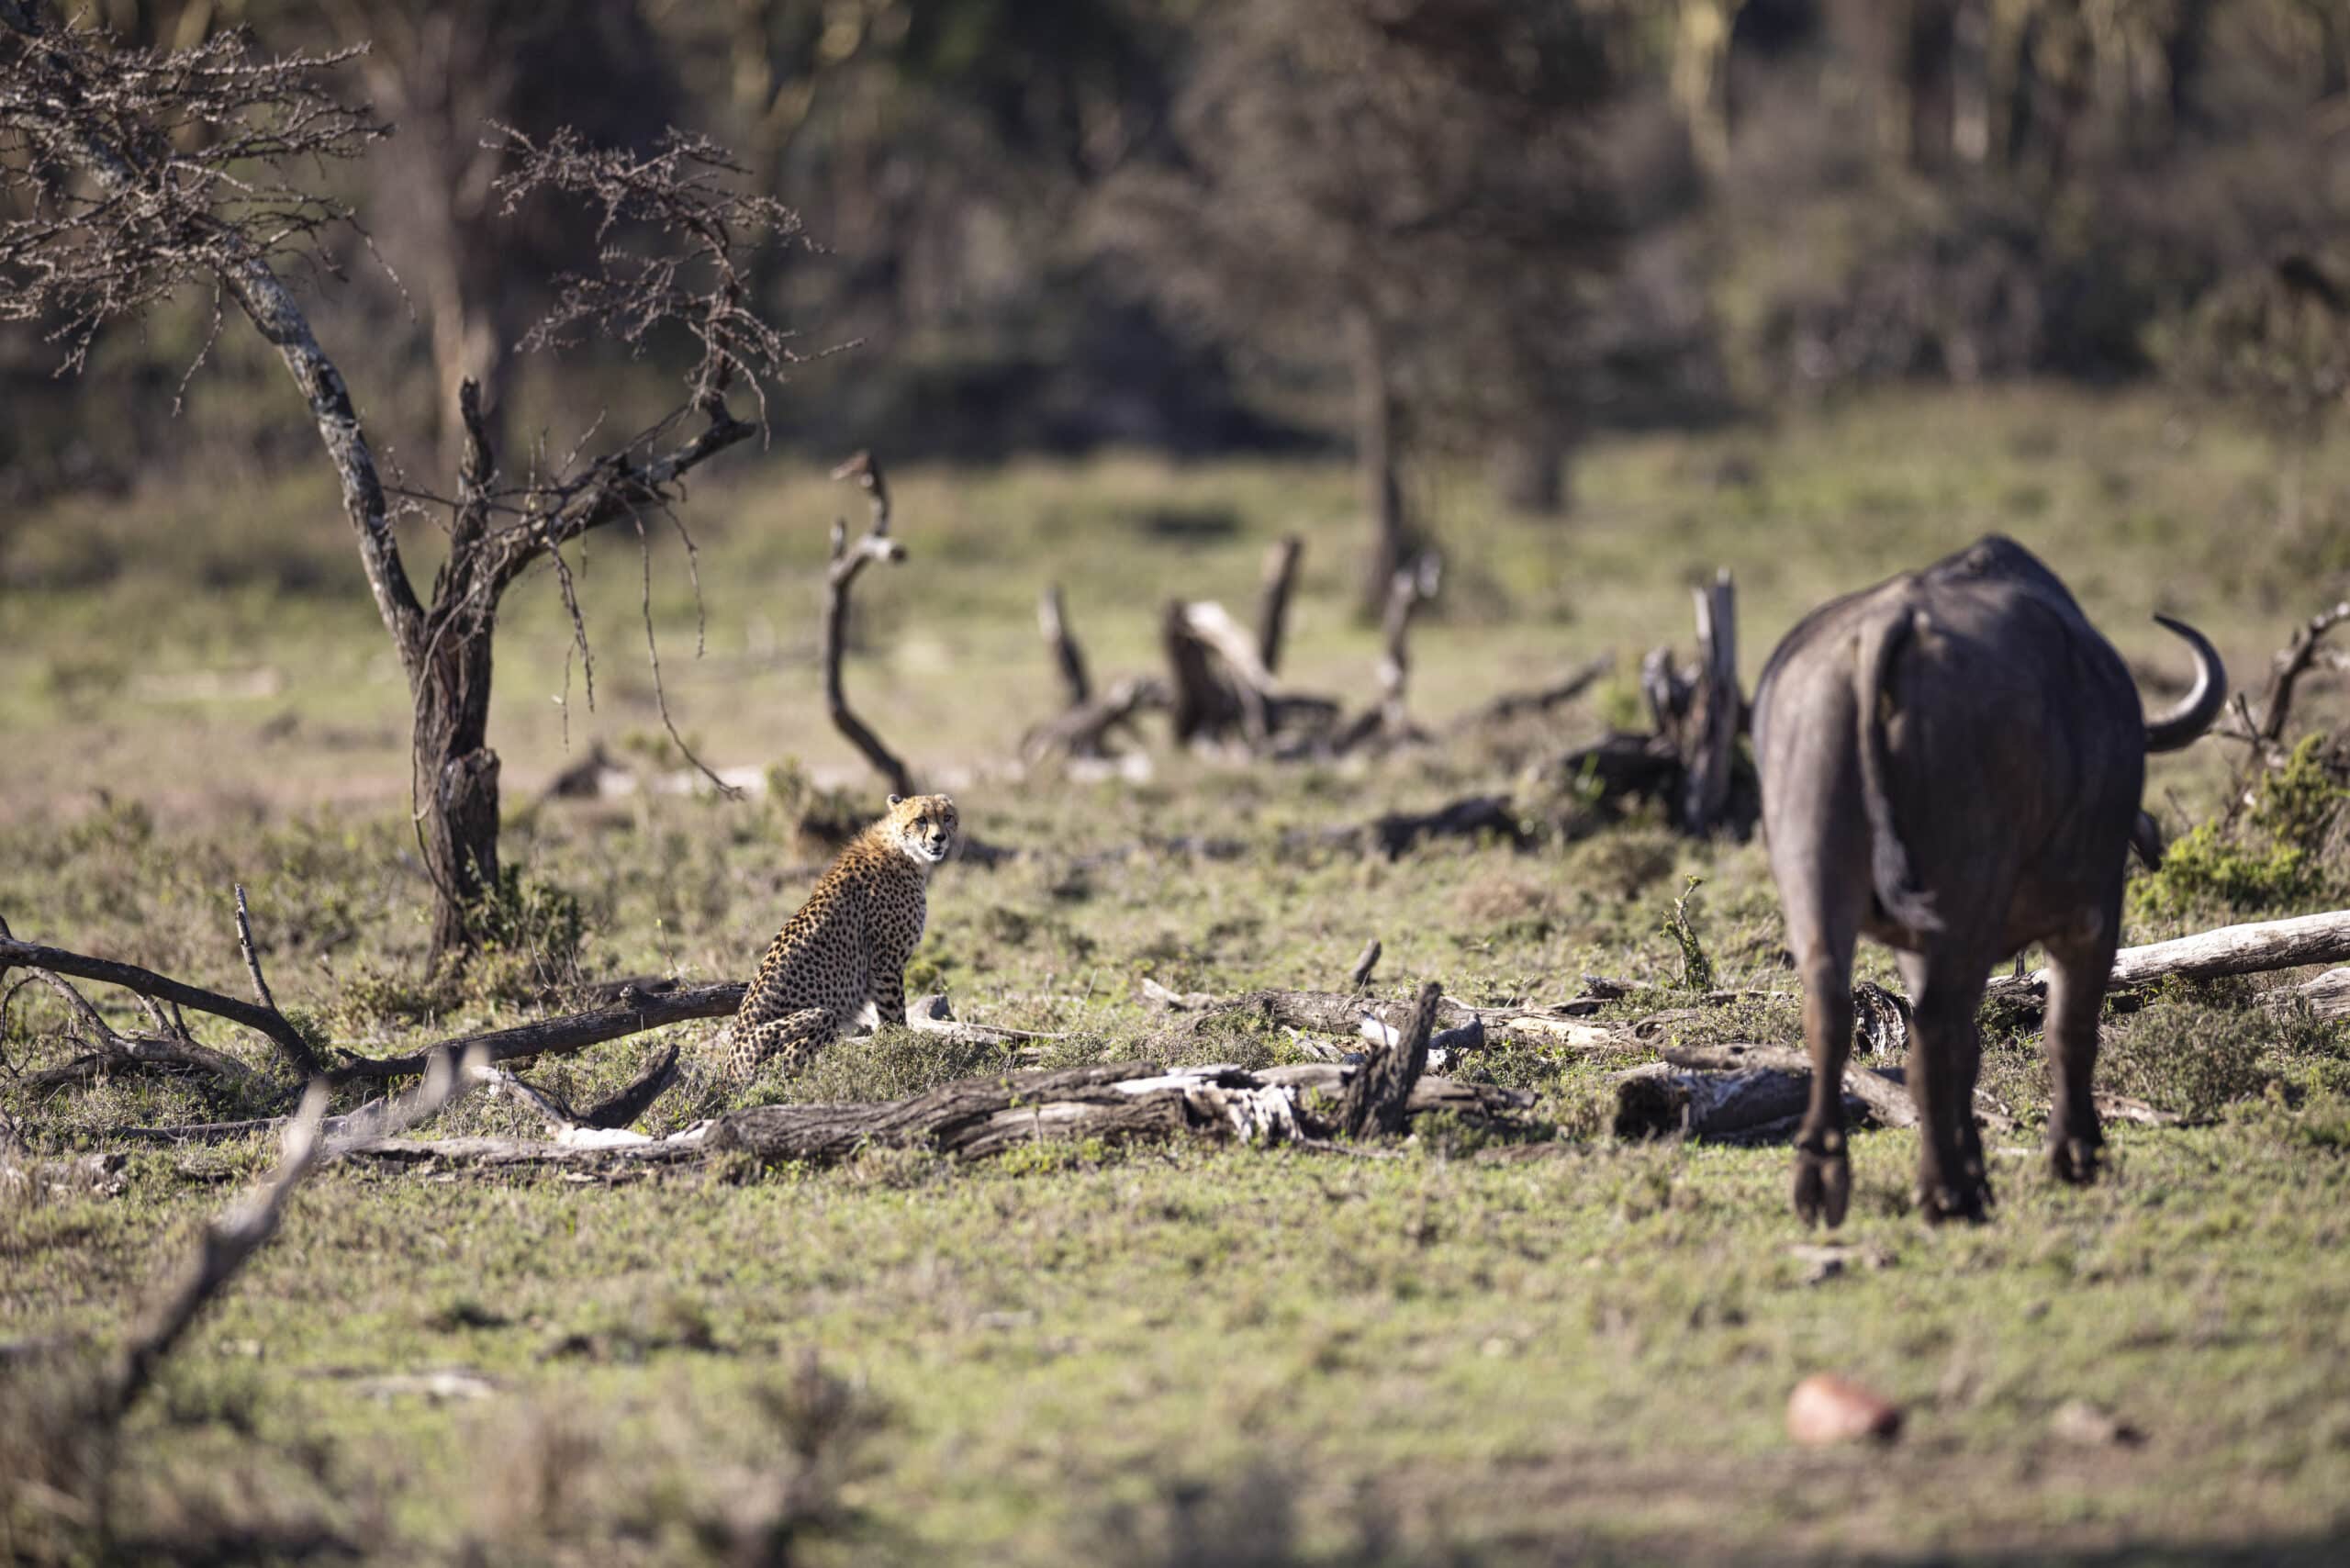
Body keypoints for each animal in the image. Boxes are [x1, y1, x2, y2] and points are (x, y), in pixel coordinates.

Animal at [705, 790, 954, 1100]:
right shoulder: (886, 965)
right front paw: (905, 1050)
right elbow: (894, 1018)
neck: (903, 850)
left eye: (947, 817)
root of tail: (728, 1070)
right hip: (821, 1015)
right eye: (921, 819)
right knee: (775, 1073)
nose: (939, 838)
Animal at [1757, 540, 2227, 1222]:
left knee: (1832, 1014)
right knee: (1935, 1033)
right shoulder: (2093, 911)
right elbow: (2068, 1031)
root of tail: (1885, 629)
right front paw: (2076, 1152)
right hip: (1965, 905)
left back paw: (1823, 1182)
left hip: (1817, 885)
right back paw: (1947, 1189)